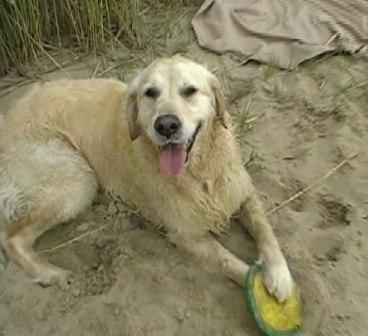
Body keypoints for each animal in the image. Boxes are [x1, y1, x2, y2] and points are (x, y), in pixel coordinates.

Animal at [0, 56, 294, 300]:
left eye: (190, 91)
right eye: (150, 93)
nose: (166, 125)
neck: (199, 172)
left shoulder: (242, 191)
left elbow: (265, 231)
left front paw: (280, 276)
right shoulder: (184, 234)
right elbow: (232, 264)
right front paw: (264, 295)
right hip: (76, 179)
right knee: (11, 238)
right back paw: (51, 273)